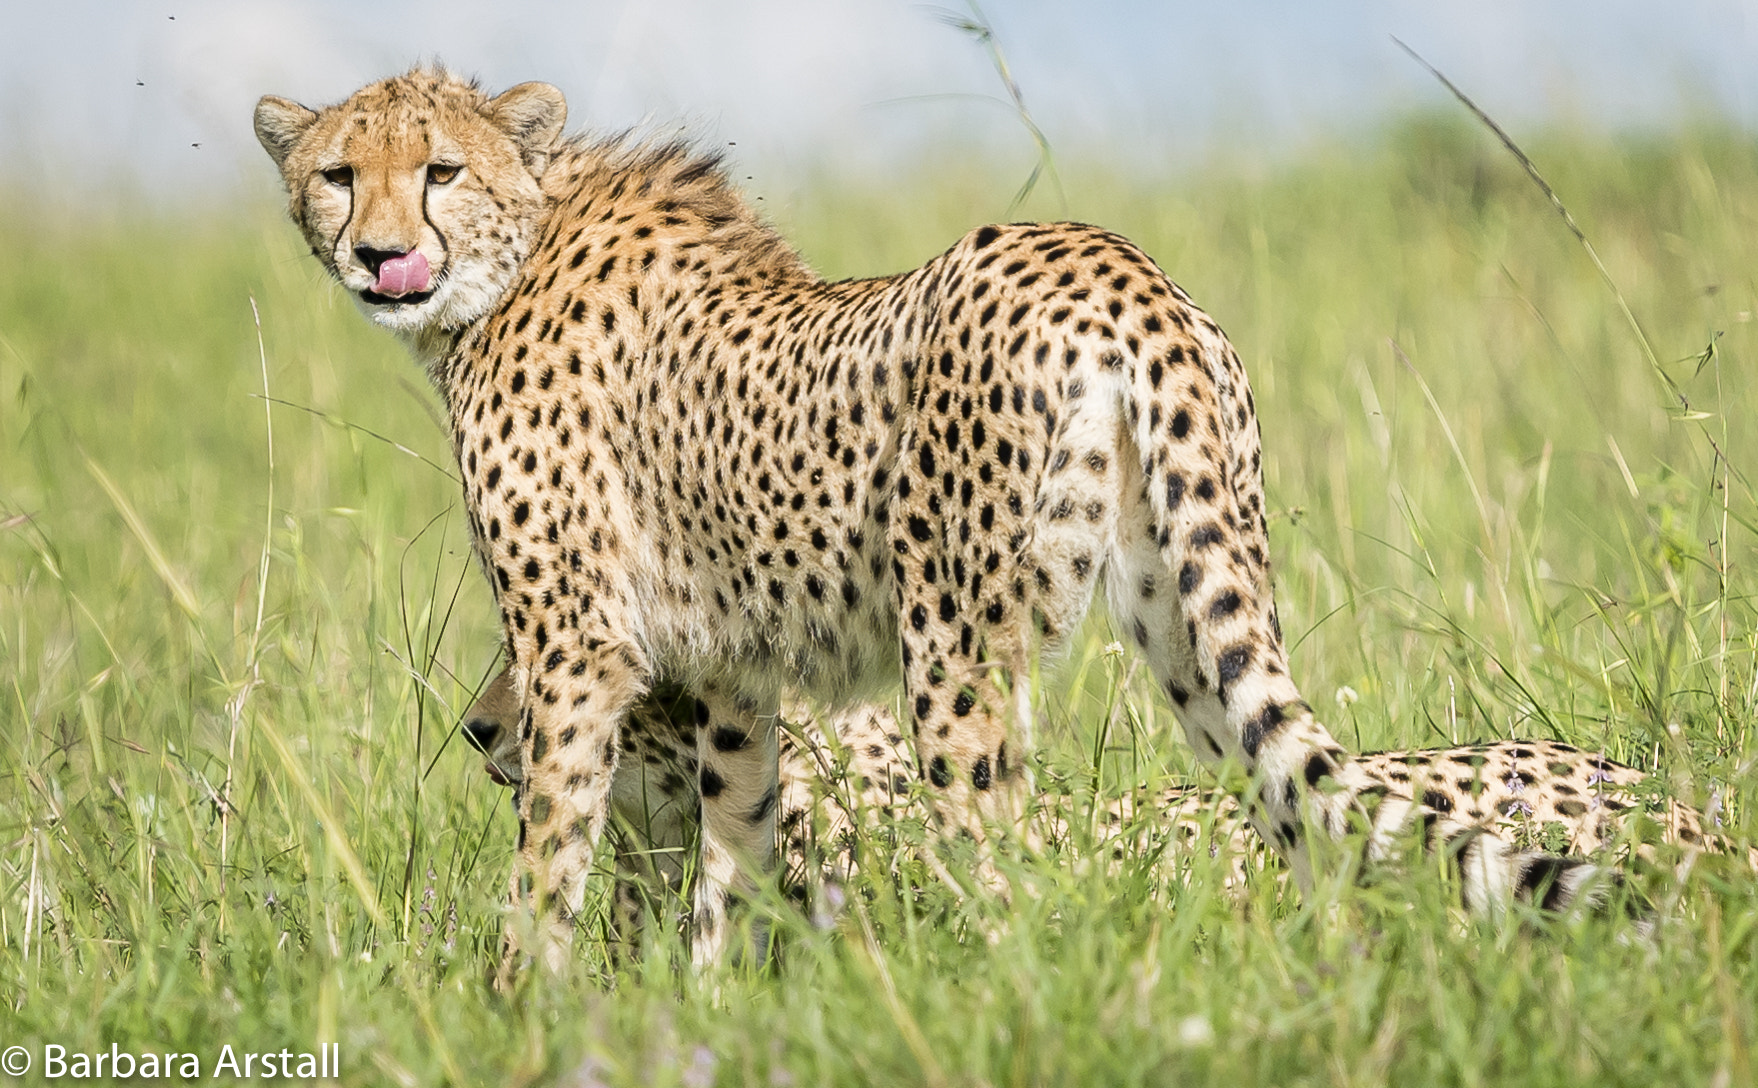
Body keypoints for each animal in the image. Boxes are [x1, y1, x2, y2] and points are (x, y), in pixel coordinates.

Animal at [255, 67, 1740, 970]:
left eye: (439, 171)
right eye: (337, 174)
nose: (380, 254)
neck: (505, 264)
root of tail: (1111, 257)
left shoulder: (579, 645)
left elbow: (552, 861)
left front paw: (520, 1004)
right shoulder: (730, 664)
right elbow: (729, 850)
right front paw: (710, 998)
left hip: (957, 648)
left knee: (1015, 862)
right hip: (1191, 619)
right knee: (1291, 805)